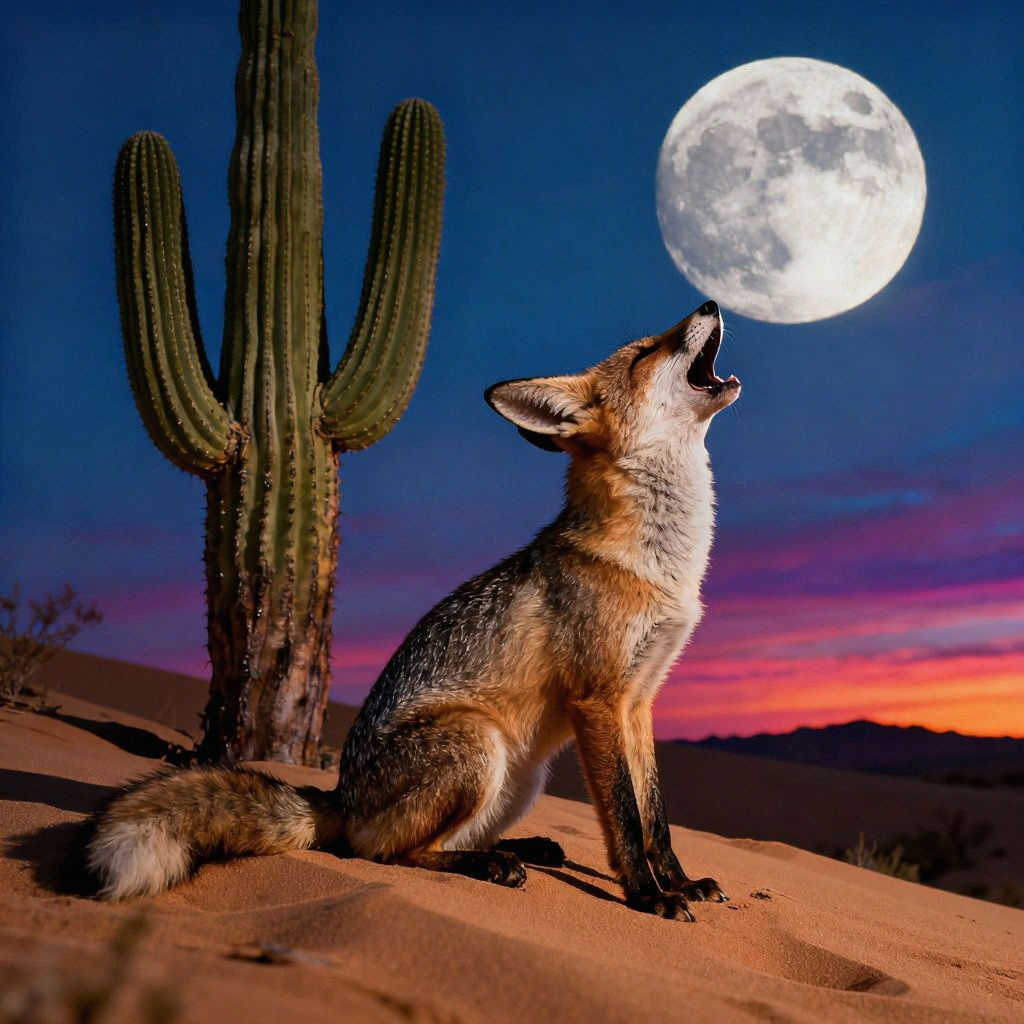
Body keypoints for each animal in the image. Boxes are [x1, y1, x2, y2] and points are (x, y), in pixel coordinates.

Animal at [80, 299, 740, 920]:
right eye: (644, 353)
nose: (709, 302)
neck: (664, 564)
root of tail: (341, 797)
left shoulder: (640, 699)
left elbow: (654, 816)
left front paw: (679, 883)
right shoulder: (597, 699)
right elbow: (624, 820)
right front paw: (647, 896)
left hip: (521, 775)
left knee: (426, 839)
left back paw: (522, 849)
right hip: (477, 744)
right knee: (383, 851)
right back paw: (492, 863)